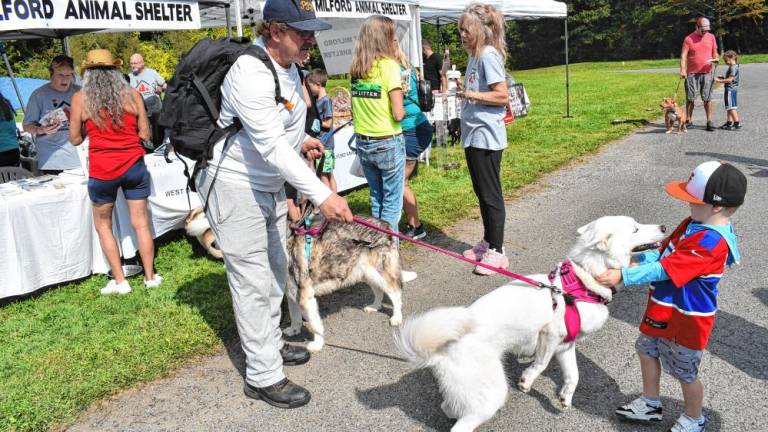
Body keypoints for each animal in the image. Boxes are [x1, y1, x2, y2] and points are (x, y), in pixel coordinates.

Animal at [282, 214, 402, 352]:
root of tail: (385, 224)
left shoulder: (306, 297)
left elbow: (315, 325)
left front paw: (318, 344)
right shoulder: (291, 293)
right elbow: (294, 316)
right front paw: (294, 330)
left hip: (380, 273)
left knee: (396, 293)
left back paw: (397, 317)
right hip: (367, 273)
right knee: (379, 290)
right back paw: (374, 307)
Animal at [396, 216, 664, 432]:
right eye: (635, 229)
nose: (663, 227)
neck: (581, 283)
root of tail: (442, 351)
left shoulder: (566, 346)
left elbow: (574, 375)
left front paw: (566, 397)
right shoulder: (550, 334)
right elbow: (541, 363)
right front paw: (527, 379)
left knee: (449, 406)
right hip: (492, 395)